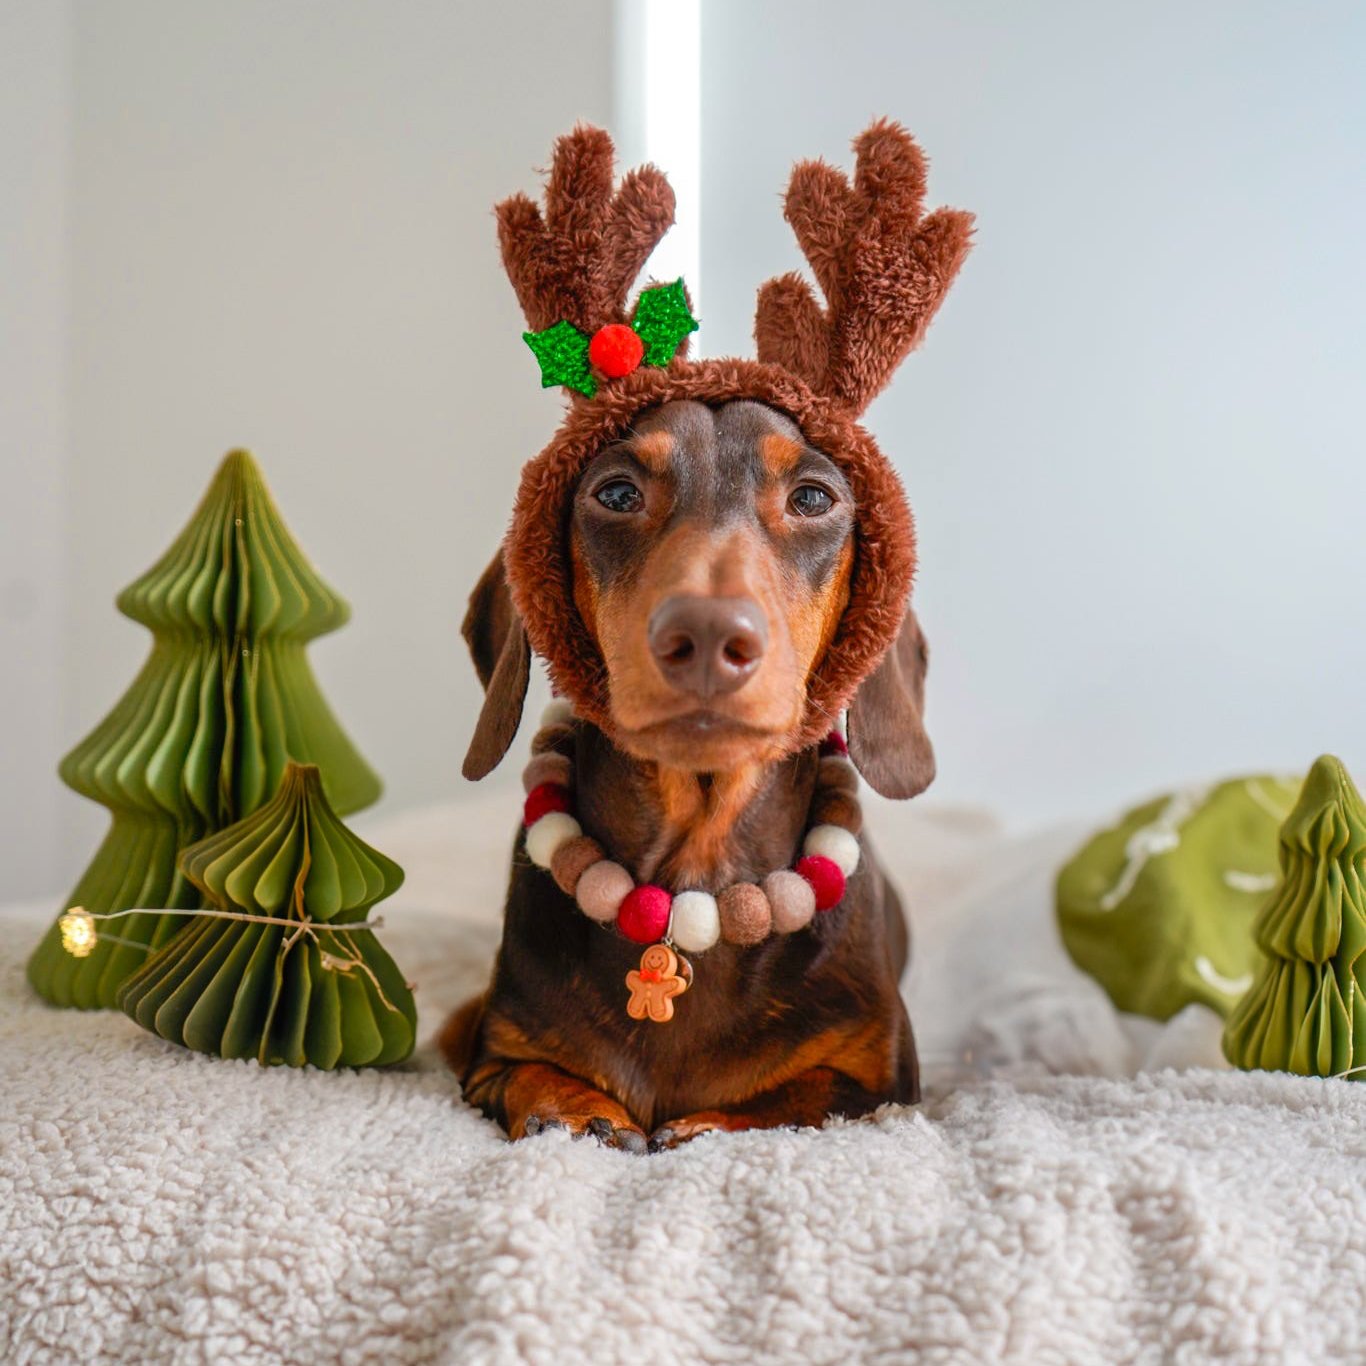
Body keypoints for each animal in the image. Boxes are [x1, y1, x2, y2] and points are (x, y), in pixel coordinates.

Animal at [442, 398, 934, 1152]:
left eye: (813, 498)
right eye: (617, 493)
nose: (706, 636)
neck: (697, 880)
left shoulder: (878, 1082)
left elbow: (799, 1096)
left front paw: (705, 1124)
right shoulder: (497, 1054)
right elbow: (532, 1073)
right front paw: (577, 1110)